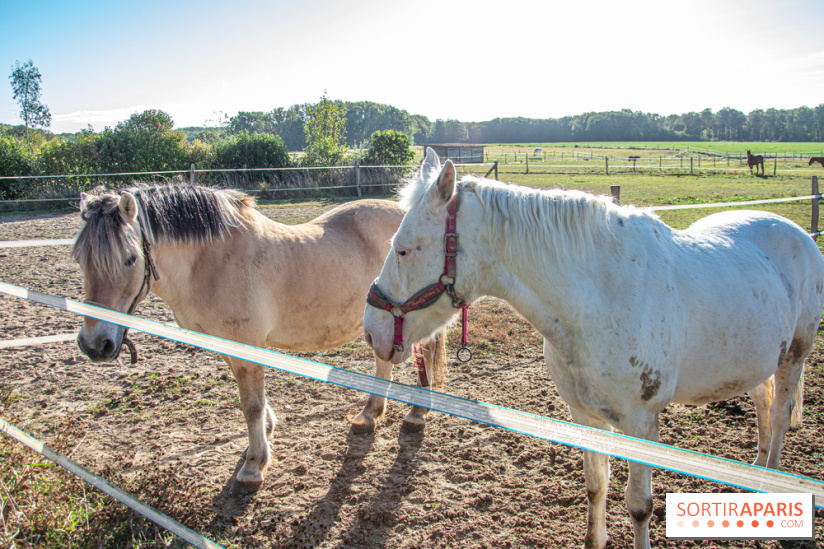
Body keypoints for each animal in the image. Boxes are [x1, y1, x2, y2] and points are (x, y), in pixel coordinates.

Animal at [72, 184, 446, 490]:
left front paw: (254, 464)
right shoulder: (230, 346)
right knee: (385, 362)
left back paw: (417, 414)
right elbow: (254, 402)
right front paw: (266, 432)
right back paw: (369, 414)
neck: (212, 263)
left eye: (130, 259)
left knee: (426, 353)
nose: (95, 345)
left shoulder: (246, 344)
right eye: (79, 259)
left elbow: (250, 405)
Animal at [363, 148, 824, 549]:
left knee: (780, 416)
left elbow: (639, 506)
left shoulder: (641, 423)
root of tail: (794, 230)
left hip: (794, 356)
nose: (371, 332)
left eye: (403, 249)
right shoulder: (585, 415)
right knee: (763, 403)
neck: (602, 296)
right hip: (758, 360)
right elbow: (595, 486)